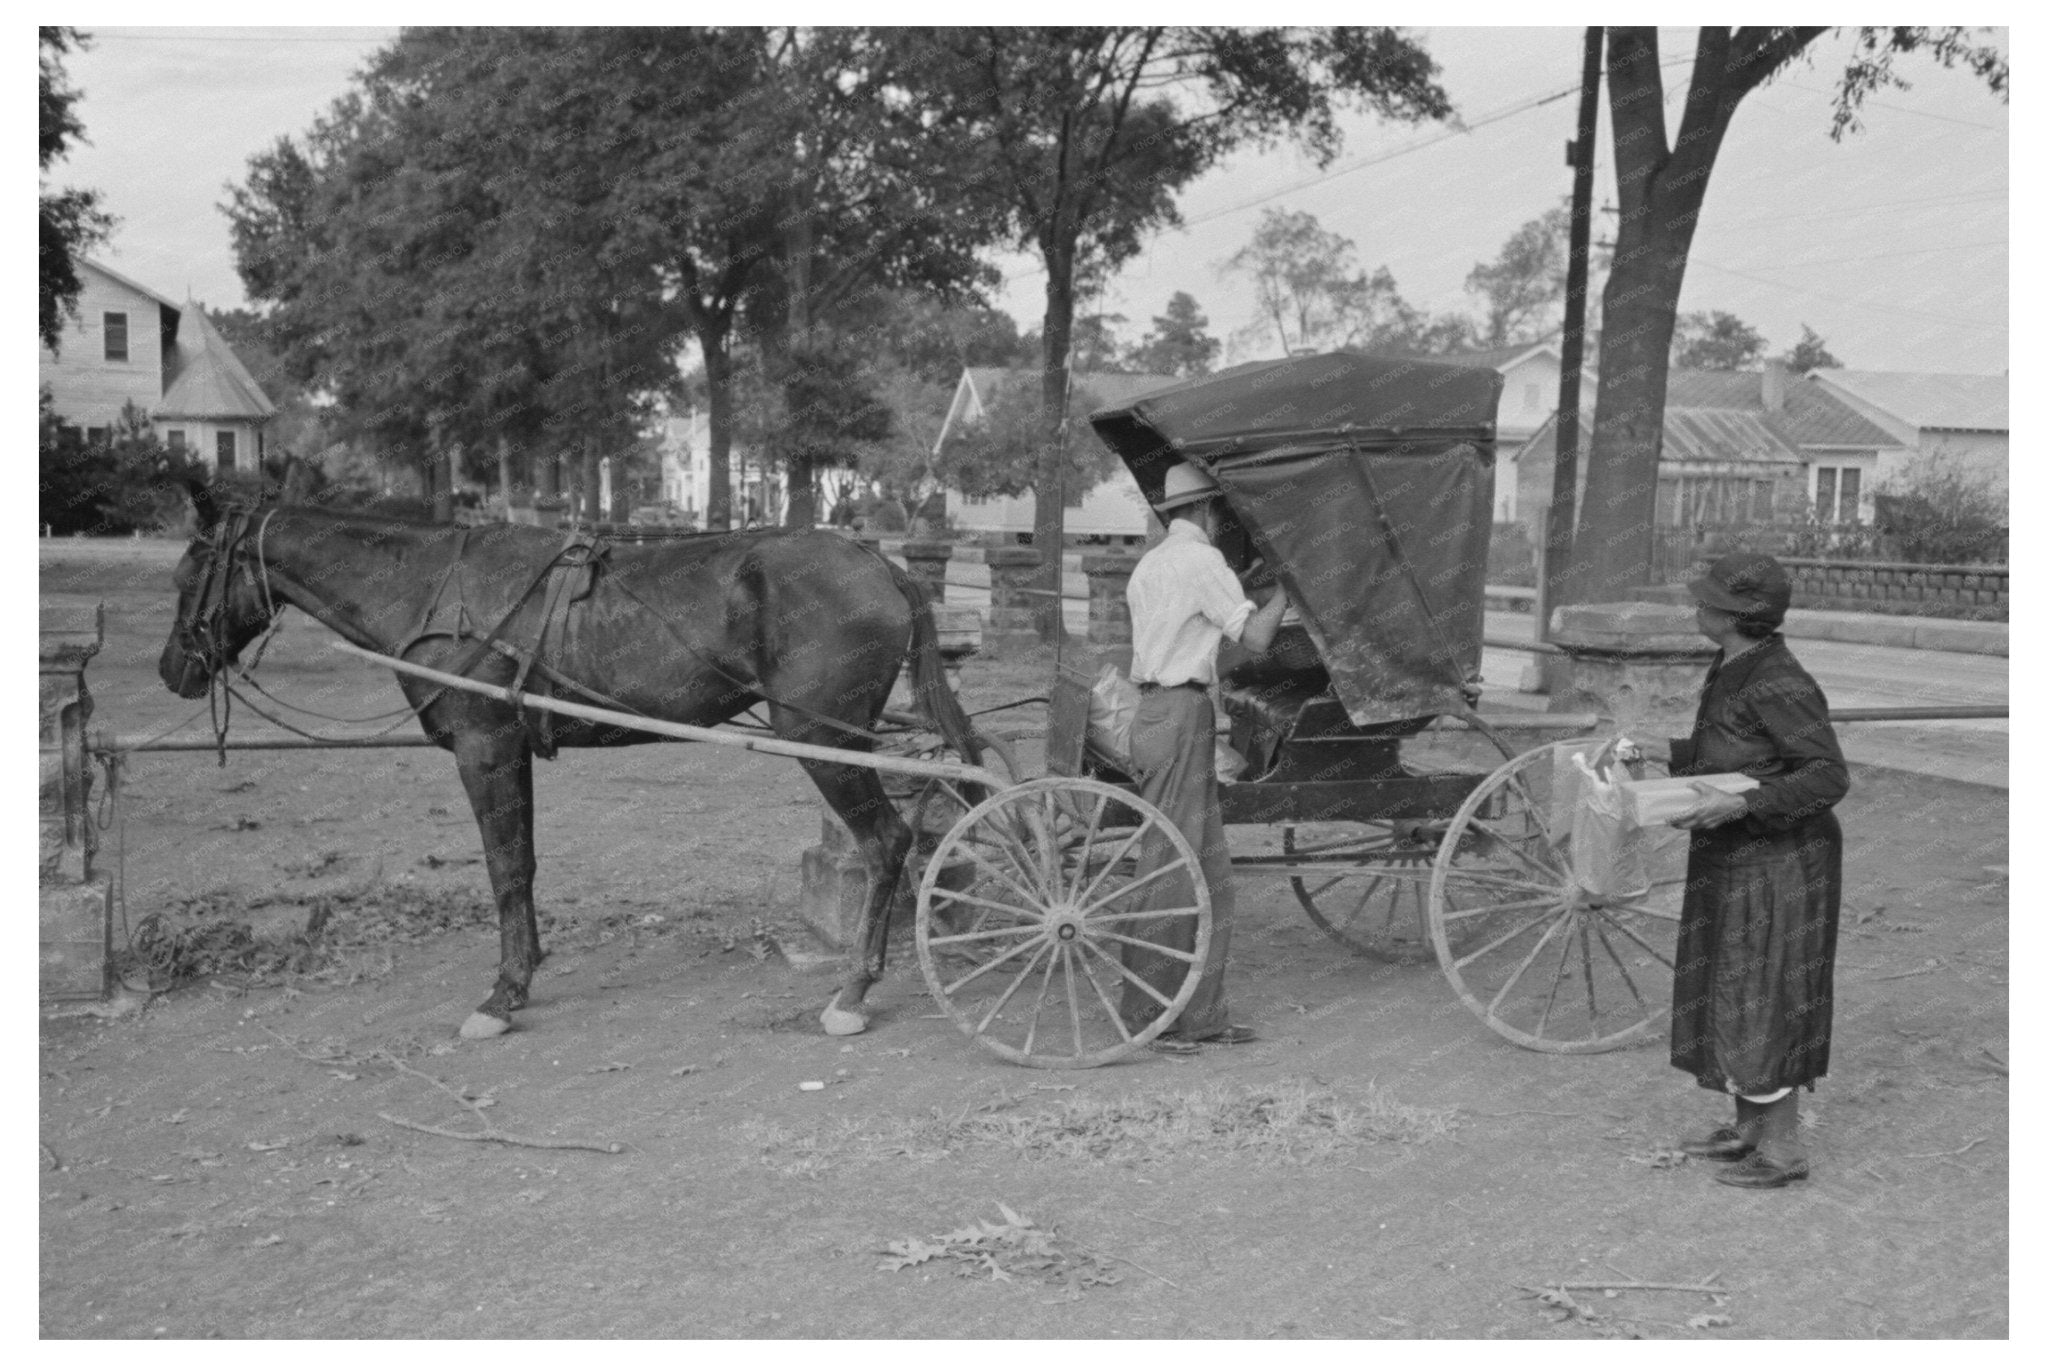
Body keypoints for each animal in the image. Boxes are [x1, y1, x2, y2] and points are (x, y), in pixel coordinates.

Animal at [153, 481, 983, 1036]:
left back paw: (854, 991)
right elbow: (521, 864)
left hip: (827, 740)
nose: (172, 670)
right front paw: (522, 977)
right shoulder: (508, 748)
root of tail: (878, 562)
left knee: (887, 844)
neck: (433, 588)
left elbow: (503, 869)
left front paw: (501, 994)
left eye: (188, 574)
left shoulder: (483, 748)